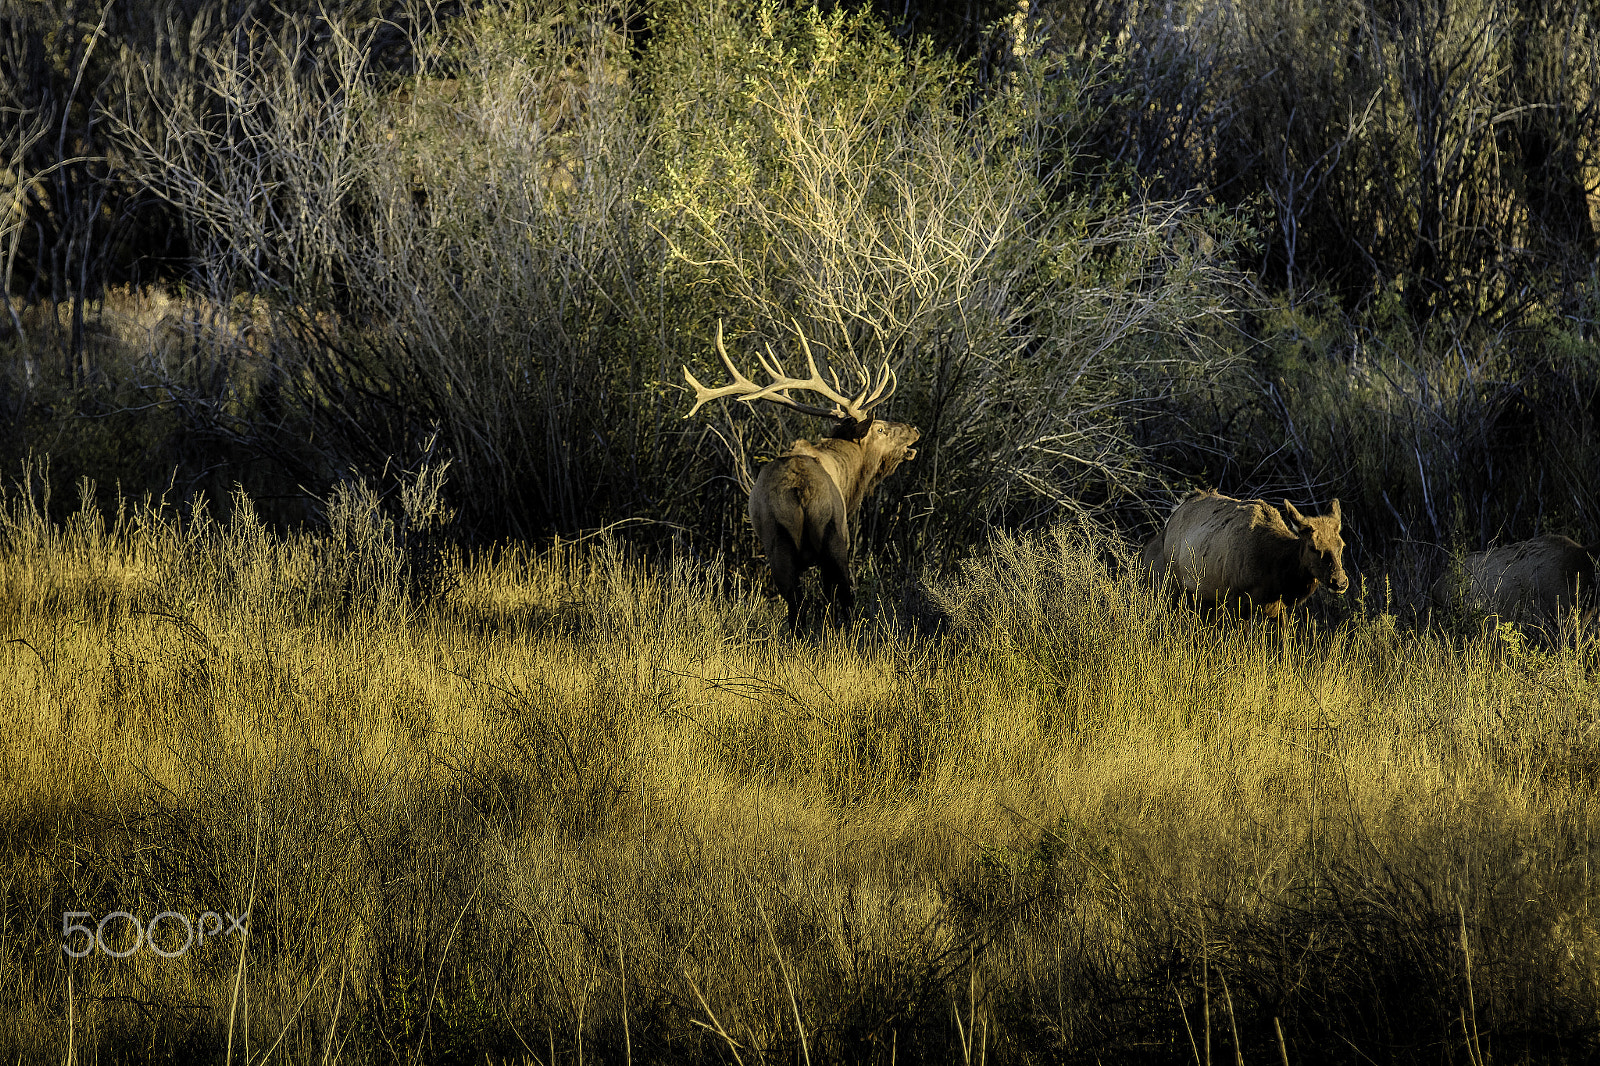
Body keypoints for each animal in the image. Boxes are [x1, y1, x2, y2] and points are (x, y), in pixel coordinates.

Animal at [681, 320, 921, 627]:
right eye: (880, 428)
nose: (914, 429)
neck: (848, 479)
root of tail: (800, 489)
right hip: (833, 536)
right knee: (842, 595)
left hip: (776, 542)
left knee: (796, 607)